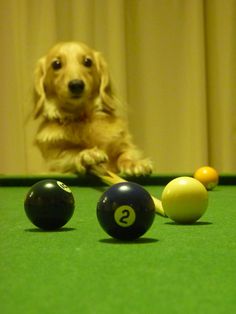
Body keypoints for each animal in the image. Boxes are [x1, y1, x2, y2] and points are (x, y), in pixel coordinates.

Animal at [33, 40, 153, 175]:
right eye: (56, 64)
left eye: (87, 61)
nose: (76, 85)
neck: (82, 118)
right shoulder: (56, 157)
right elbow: (71, 152)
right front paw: (88, 154)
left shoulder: (123, 144)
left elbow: (125, 153)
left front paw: (134, 163)